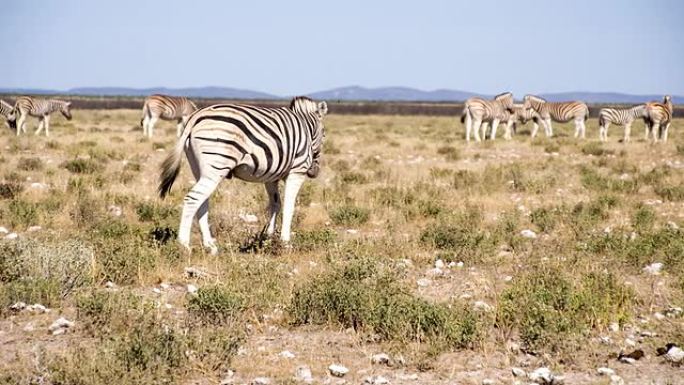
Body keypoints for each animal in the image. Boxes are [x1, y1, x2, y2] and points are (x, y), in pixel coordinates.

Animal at [157, 95, 326, 254]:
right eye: (324, 134)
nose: (314, 172)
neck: (306, 128)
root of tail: (195, 117)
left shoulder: (271, 177)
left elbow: (275, 204)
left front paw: (269, 237)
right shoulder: (297, 171)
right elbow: (289, 207)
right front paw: (285, 243)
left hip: (198, 168)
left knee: (202, 202)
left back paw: (210, 246)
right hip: (217, 164)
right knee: (193, 199)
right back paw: (184, 245)